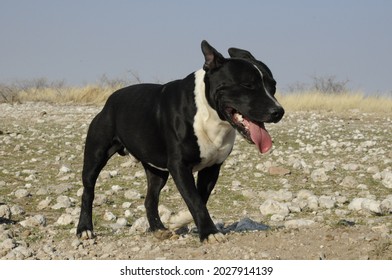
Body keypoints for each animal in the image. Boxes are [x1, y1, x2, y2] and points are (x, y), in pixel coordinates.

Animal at [77, 40, 284, 243]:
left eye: (273, 86)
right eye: (247, 85)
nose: (278, 111)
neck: (209, 113)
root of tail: (110, 100)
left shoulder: (212, 168)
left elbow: (199, 198)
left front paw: (180, 220)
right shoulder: (179, 166)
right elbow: (195, 199)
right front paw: (209, 232)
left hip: (157, 172)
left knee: (150, 199)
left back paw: (158, 229)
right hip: (95, 157)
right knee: (88, 192)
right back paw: (84, 229)